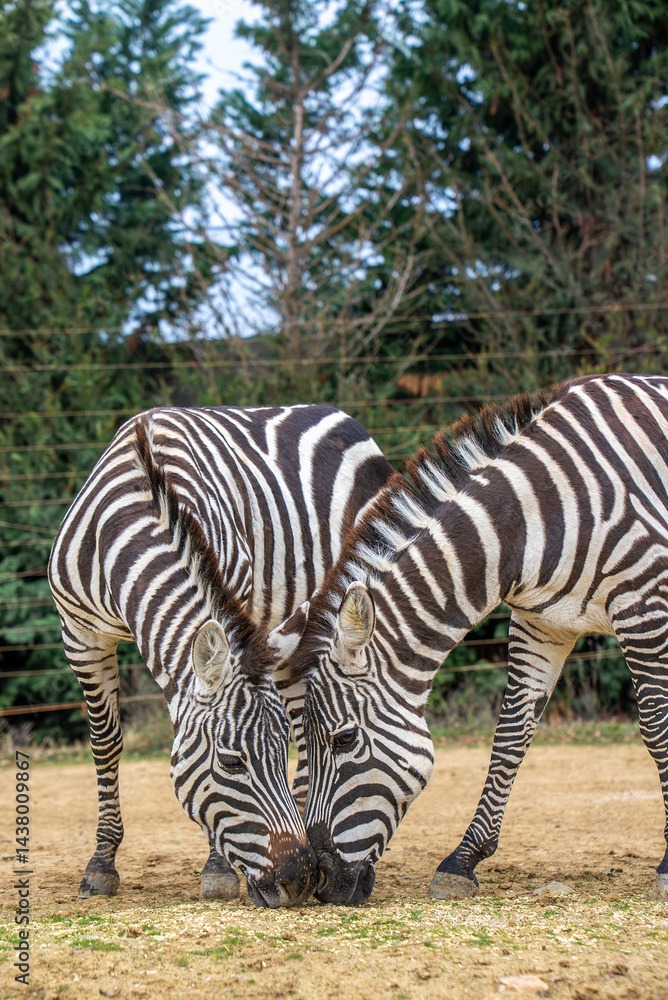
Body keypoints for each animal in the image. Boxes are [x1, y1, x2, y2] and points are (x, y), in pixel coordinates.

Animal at [47, 404, 394, 908]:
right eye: (231, 763)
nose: (299, 879)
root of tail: (340, 415)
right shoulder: (80, 636)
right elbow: (106, 745)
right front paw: (101, 864)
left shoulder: (235, 597)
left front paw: (216, 869)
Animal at [284, 373, 668, 904]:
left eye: (344, 740)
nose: (321, 883)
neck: (530, 517)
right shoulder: (542, 624)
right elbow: (510, 735)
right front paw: (462, 861)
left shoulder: (644, 605)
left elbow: (656, 727)